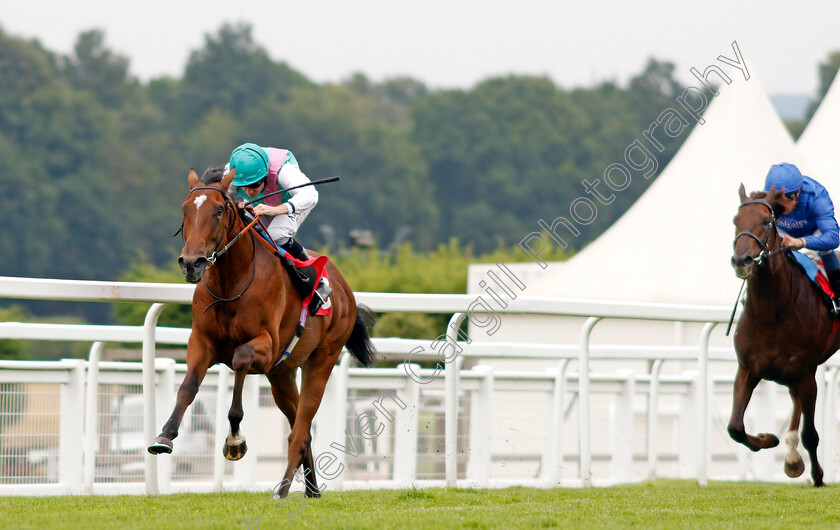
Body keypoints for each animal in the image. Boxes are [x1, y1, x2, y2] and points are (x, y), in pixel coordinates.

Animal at [149, 166, 376, 496]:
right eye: (185, 209)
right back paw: (311, 488)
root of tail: (345, 289)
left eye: (218, 210)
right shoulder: (202, 342)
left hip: (322, 359)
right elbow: (187, 387)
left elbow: (240, 362)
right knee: (300, 427)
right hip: (281, 374)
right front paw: (164, 435)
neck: (230, 284)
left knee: (300, 428)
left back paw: (282, 489)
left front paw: (235, 441)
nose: (192, 263)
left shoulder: (265, 347)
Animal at [728, 184, 840, 484]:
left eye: (766, 221)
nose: (742, 260)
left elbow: (811, 434)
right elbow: (735, 428)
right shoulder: (748, 369)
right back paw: (790, 456)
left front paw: (818, 476)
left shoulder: (806, 373)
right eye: (735, 221)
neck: (772, 313)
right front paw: (769, 439)